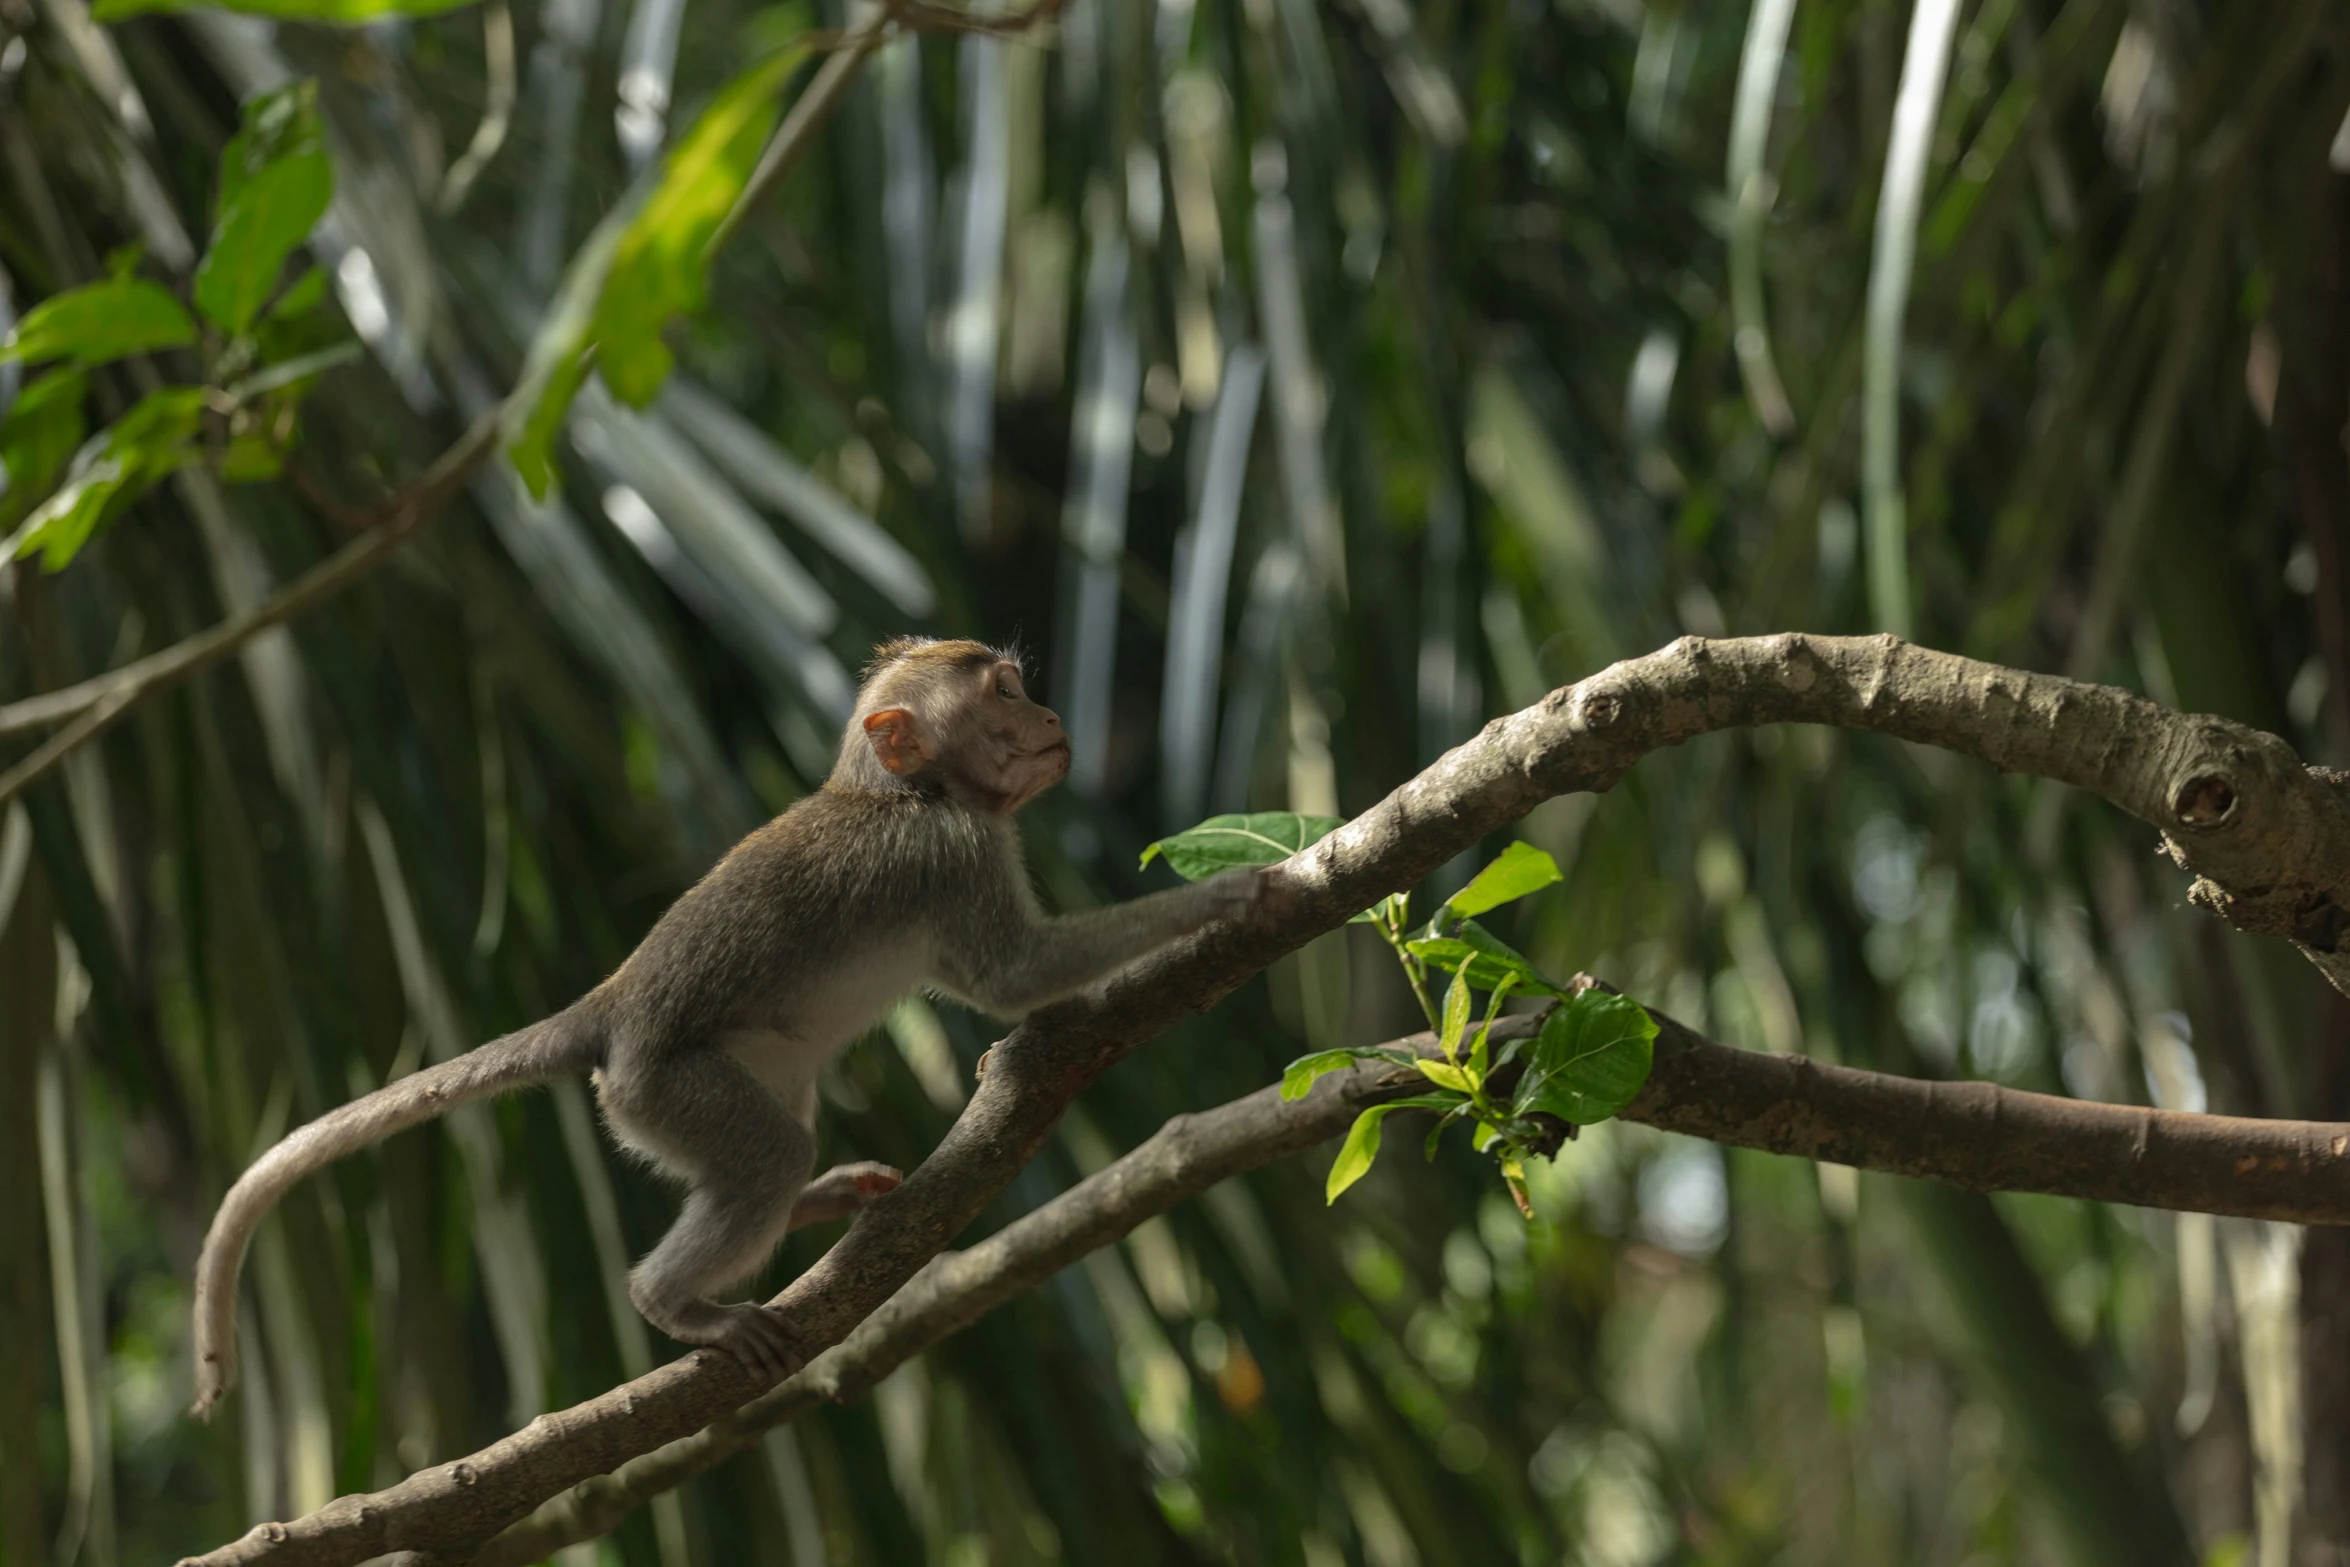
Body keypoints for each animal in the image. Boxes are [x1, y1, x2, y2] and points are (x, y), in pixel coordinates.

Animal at [190, 639, 1278, 1418]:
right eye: (1005, 692)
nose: (1048, 717)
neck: (903, 790)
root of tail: (610, 1005)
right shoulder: (950, 851)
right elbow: (1013, 975)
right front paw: (1220, 899)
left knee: (768, 1150)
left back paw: (816, 1202)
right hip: (662, 1087)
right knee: (765, 1153)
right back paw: (676, 1299)